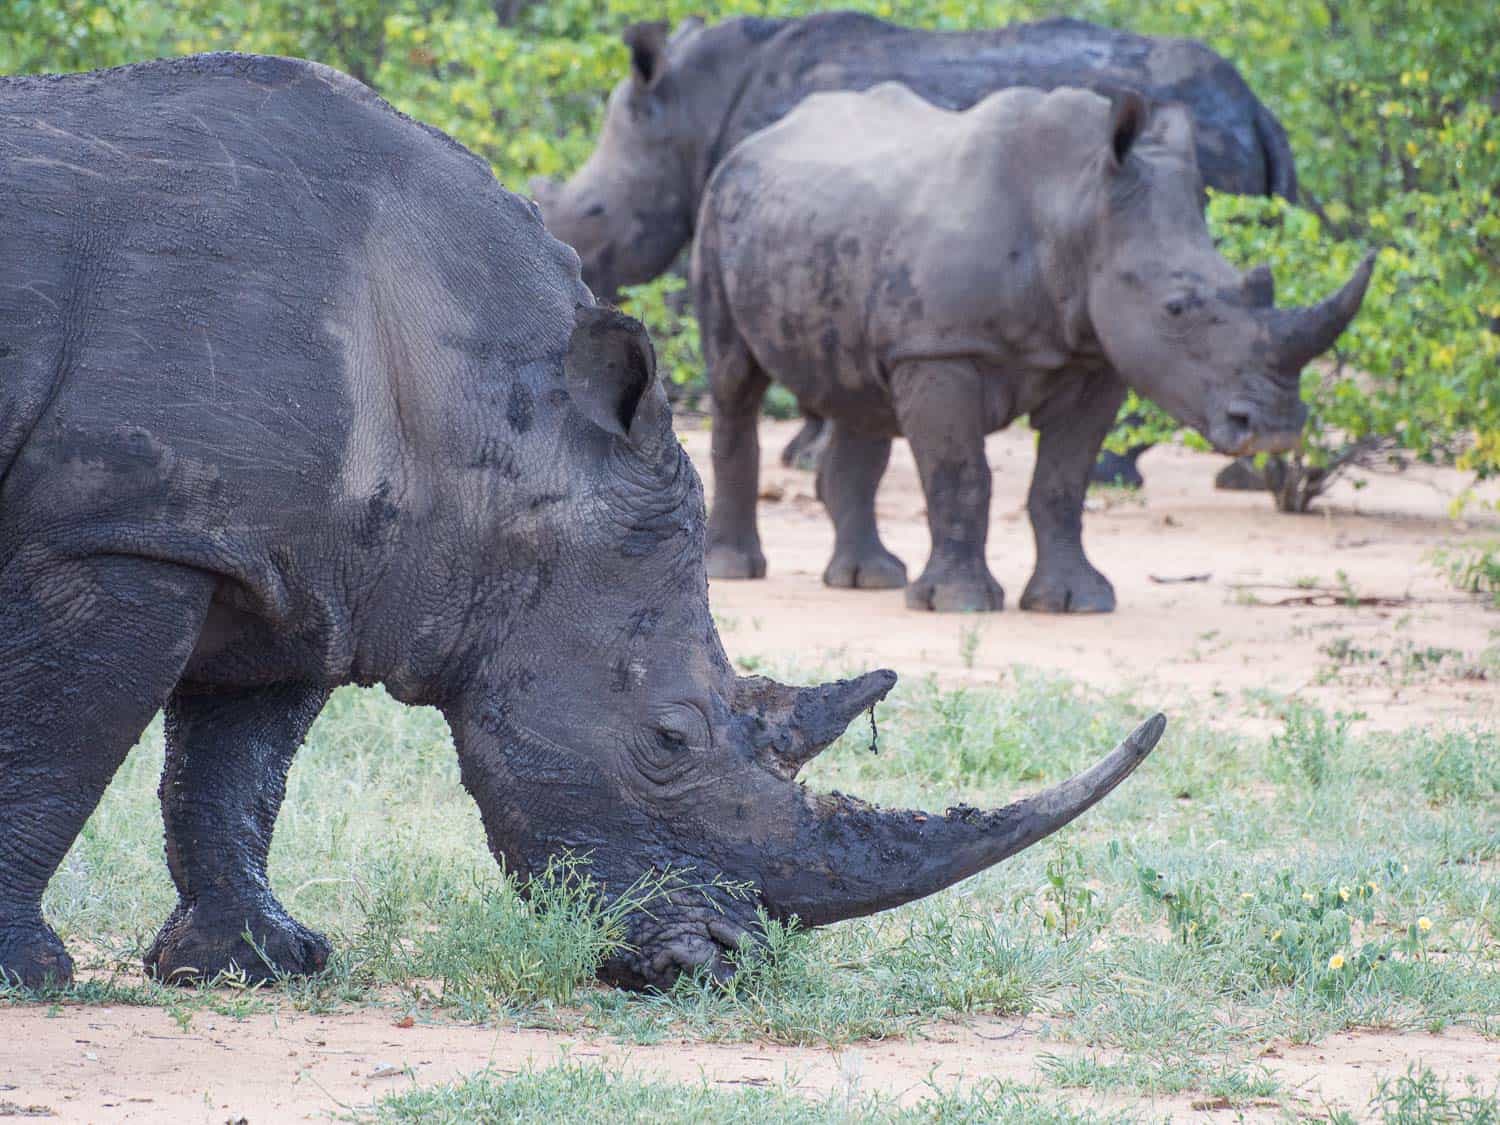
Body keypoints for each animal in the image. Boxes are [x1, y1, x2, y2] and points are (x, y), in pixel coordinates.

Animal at [0, 55, 1164, 996]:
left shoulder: (297, 560)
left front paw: (257, 965)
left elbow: (234, 766)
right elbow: (64, 739)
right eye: (670, 738)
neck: (476, 408)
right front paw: (29, 978)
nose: (722, 965)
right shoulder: (124, 531)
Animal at [690, 85, 1374, 618]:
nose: (1276, 427)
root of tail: (755, 140)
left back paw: (870, 579)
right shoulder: (942, 350)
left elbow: (1062, 483)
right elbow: (961, 473)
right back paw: (734, 569)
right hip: (718, 208)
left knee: (859, 396)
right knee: (734, 381)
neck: (1076, 209)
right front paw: (959, 604)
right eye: (1176, 308)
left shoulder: (1097, 358)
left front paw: (1077, 601)